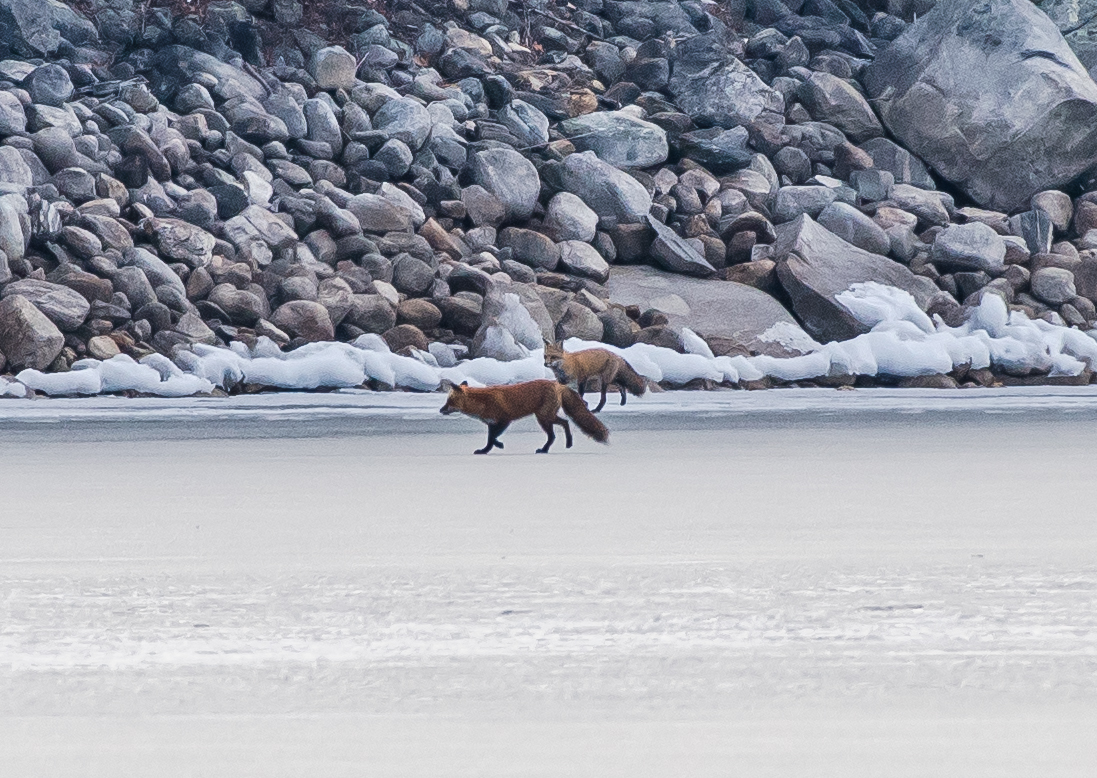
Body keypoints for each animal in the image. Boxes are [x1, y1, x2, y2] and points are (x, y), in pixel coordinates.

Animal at [438, 379, 609, 452]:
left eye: (449, 401)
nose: (440, 410)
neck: (482, 402)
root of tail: (557, 384)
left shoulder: (504, 420)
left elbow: (492, 438)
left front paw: (496, 446)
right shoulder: (492, 424)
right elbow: (490, 439)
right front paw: (487, 450)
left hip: (543, 418)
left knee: (556, 432)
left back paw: (548, 448)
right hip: (546, 417)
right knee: (564, 423)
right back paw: (566, 444)